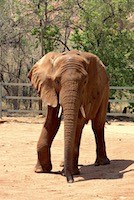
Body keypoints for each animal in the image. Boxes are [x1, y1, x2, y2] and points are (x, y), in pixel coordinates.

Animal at [28, 49, 110, 183]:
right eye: (56, 81)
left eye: (85, 81)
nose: (69, 180)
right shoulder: (51, 90)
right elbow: (52, 121)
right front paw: (40, 170)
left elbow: (78, 122)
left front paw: (72, 173)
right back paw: (63, 164)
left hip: (105, 90)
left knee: (97, 125)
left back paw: (102, 163)